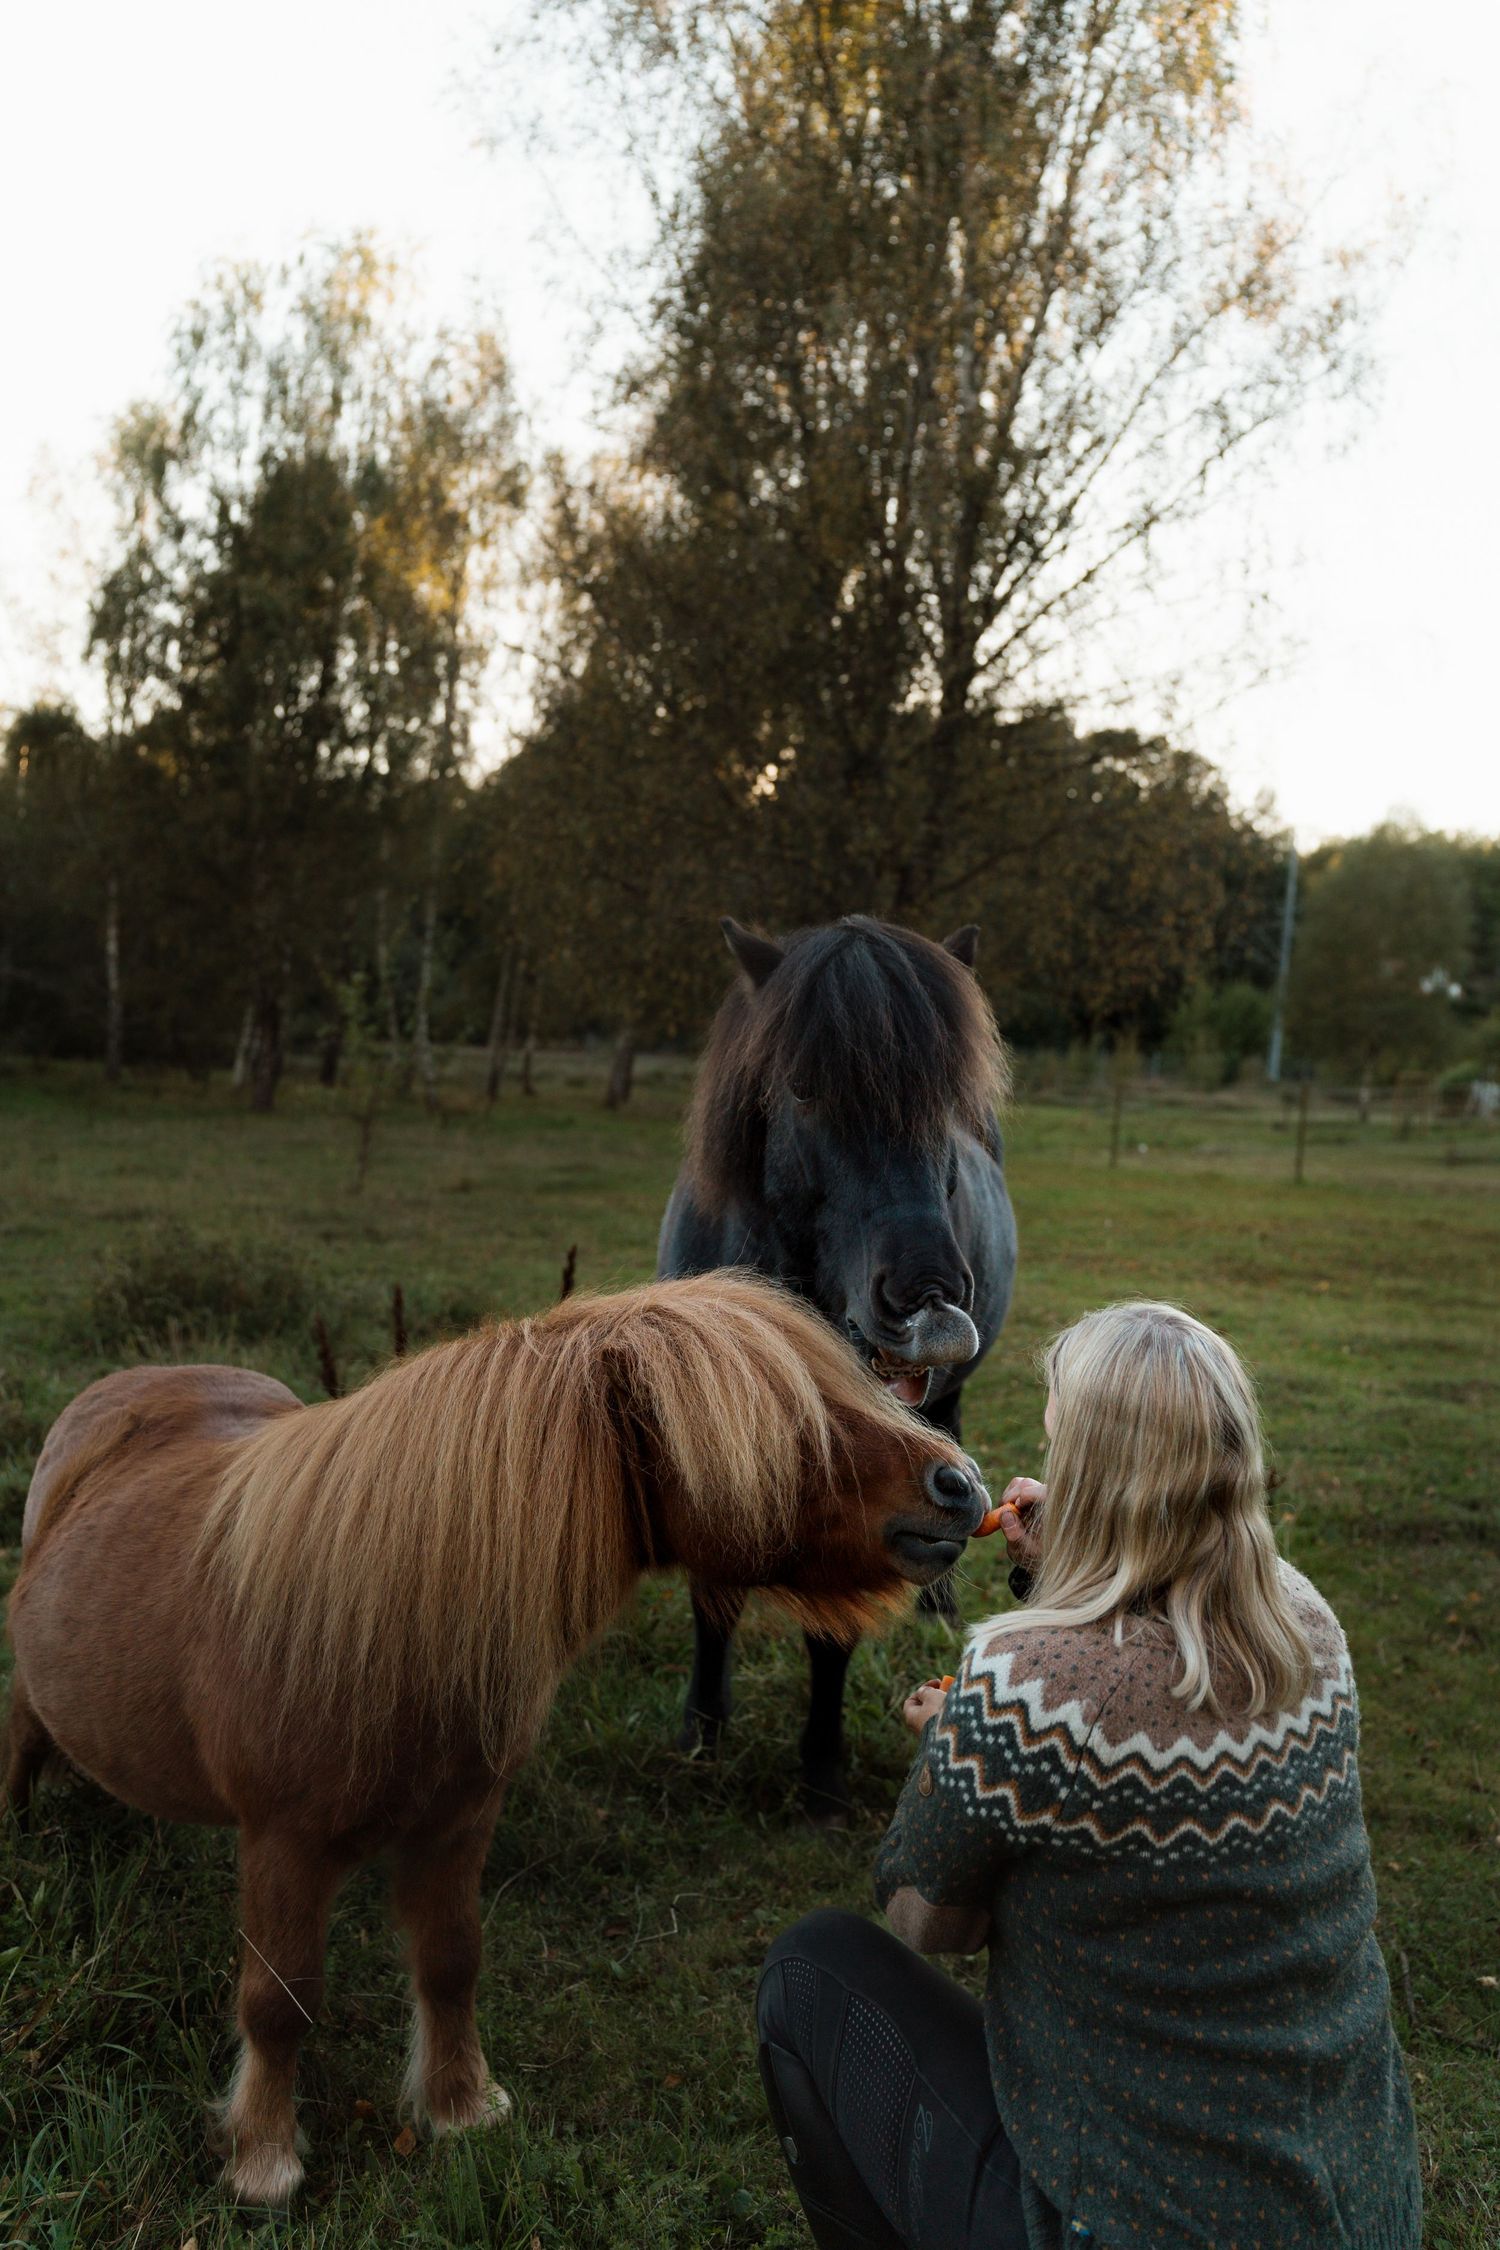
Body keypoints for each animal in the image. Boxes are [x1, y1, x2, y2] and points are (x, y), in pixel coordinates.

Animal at [4, 1272, 989, 2206]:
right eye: (777, 1423)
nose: (960, 1486)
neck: (381, 1621)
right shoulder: (285, 1848)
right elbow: (277, 2004)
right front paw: (263, 2162)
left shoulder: (458, 1823)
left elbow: (450, 1962)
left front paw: (459, 2108)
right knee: (20, 1744)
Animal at [658, 915, 1017, 1814]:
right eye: (803, 1088)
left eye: (952, 1103)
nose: (930, 1301)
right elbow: (711, 1593)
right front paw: (701, 1734)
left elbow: (838, 1622)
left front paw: (820, 1770)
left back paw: (937, 1605)